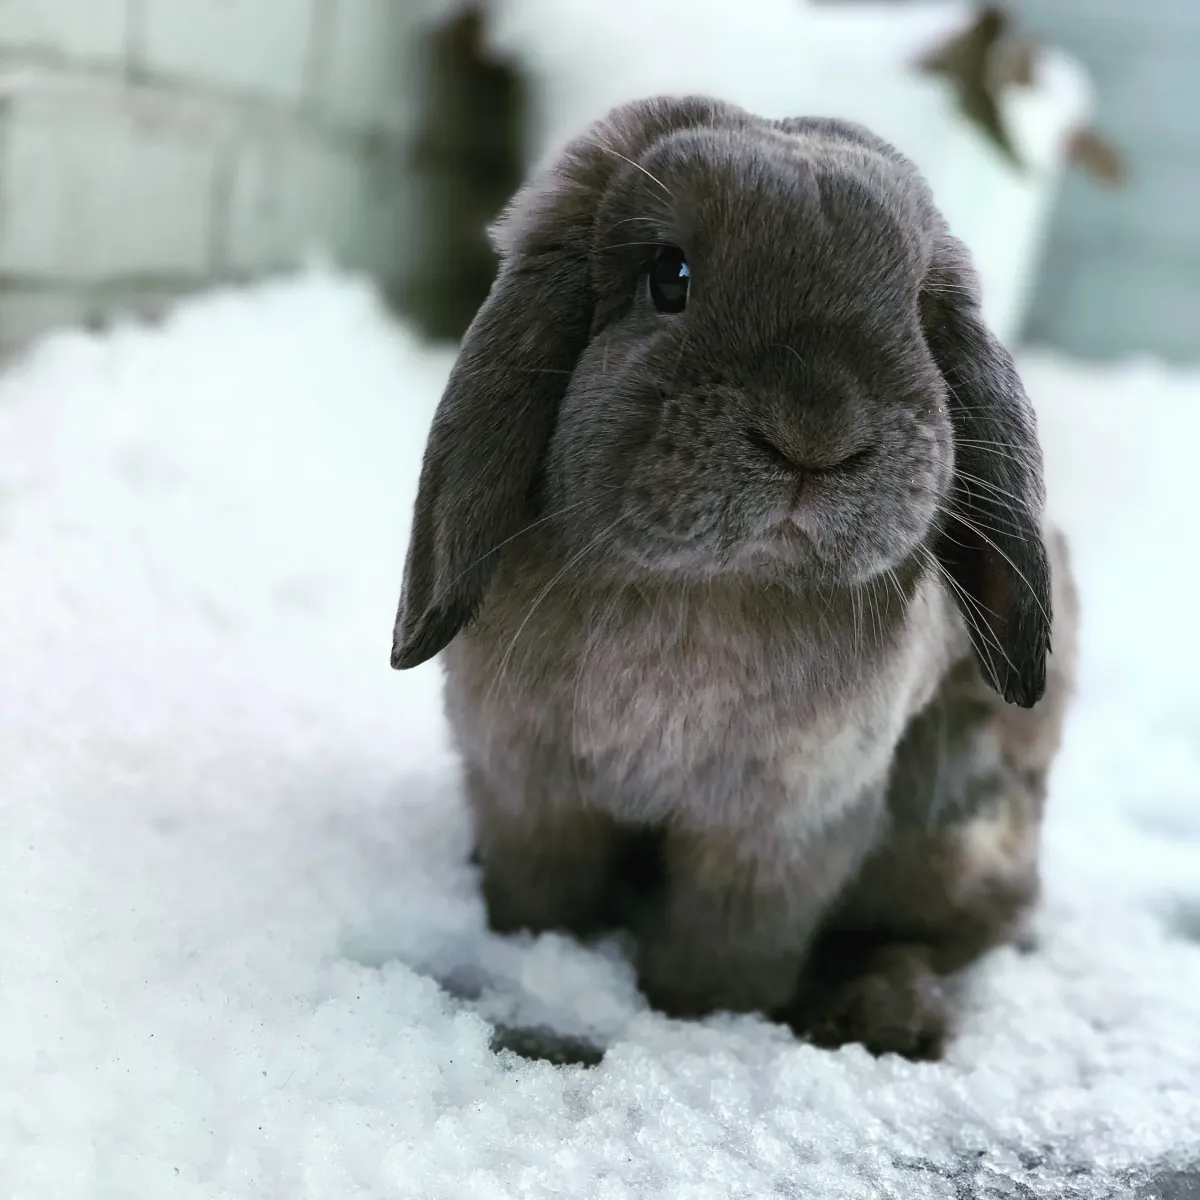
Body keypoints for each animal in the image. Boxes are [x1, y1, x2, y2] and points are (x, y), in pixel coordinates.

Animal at [390, 95, 1079, 1060]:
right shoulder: (530, 794)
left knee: (932, 938)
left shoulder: (780, 830)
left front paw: (702, 1023)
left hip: (956, 838)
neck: (706, 594)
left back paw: (886, 1016)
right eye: (669, 276)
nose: (818, 433)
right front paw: (544, 962)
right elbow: (543, 898)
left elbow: (730, 948)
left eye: (915, 311)